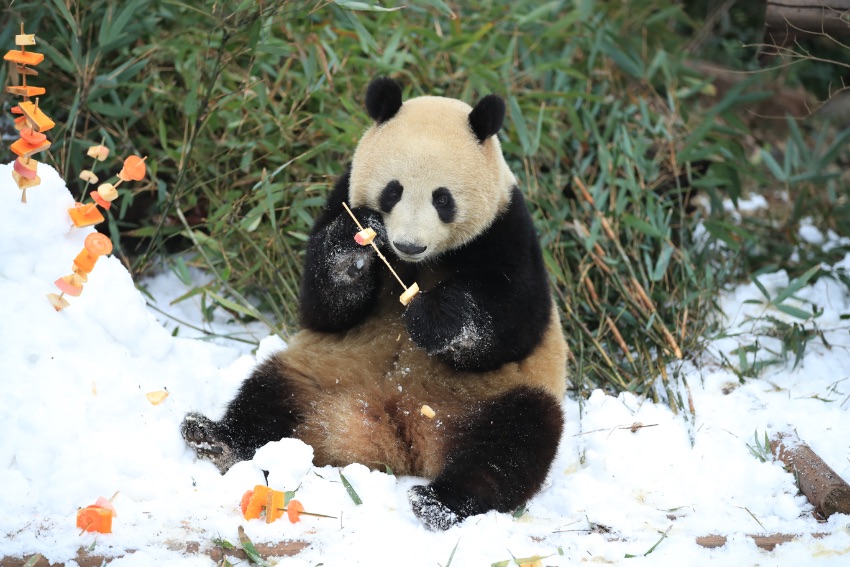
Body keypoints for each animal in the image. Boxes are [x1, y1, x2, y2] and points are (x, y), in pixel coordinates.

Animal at [186, 77, 568, 532]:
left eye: (443, 199)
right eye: (393, 191)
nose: (408, 244)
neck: (420, 265)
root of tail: (395, 436)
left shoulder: (507, 228)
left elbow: (511, 323)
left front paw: (434, 316)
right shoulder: (343, 195)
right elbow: (322, 306)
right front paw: (354, 248)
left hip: (494, 396)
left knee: (512, 445)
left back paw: (441, 503)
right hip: (320, 374)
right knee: (267, 397)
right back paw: (216, 439)